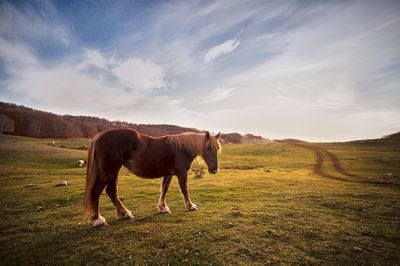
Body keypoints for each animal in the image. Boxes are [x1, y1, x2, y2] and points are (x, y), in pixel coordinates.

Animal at [84, 128, 222, 227]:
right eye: (208, 147)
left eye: (217, 148)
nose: (214, 169)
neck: (181, 148)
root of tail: (99, 136)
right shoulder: (182, 173)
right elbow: (184, 189)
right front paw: (190, 206)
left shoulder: (169, 173)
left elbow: (164, 189)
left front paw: (163, 207)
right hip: (108, 171)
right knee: (96, 191)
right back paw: (98, 219)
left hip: (114, 171)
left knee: (111, 191)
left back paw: (125, 213)